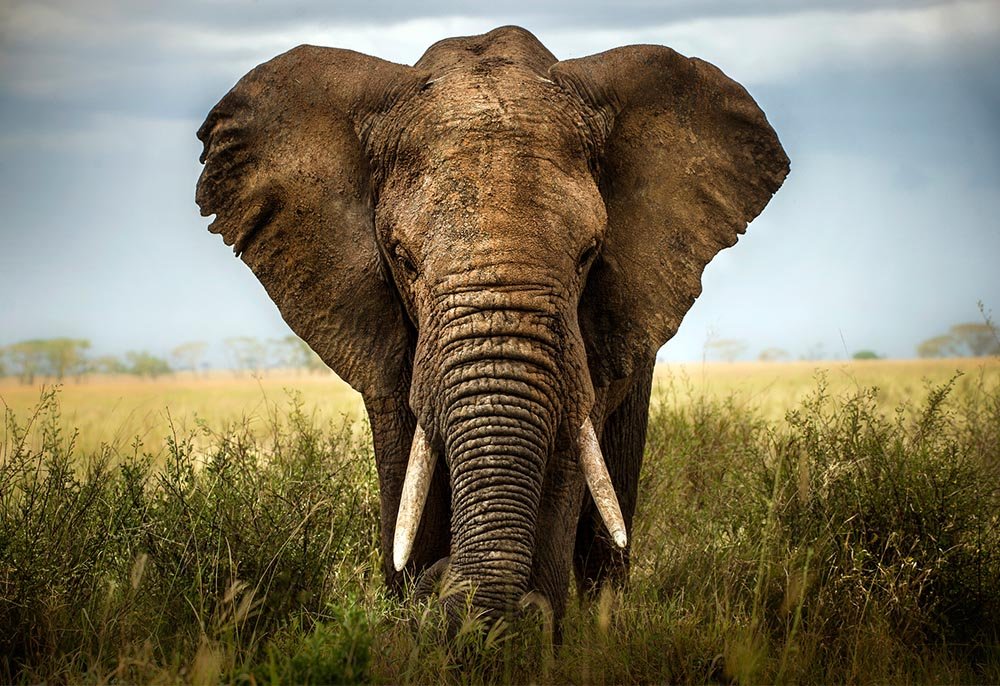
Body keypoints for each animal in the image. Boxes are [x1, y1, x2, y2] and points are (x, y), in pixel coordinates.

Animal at [195, 25, 788, 625]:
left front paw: (527, 626)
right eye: (402, 259)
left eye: (588, 255)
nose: (443, 582)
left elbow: (566, 461)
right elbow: (406, 469)